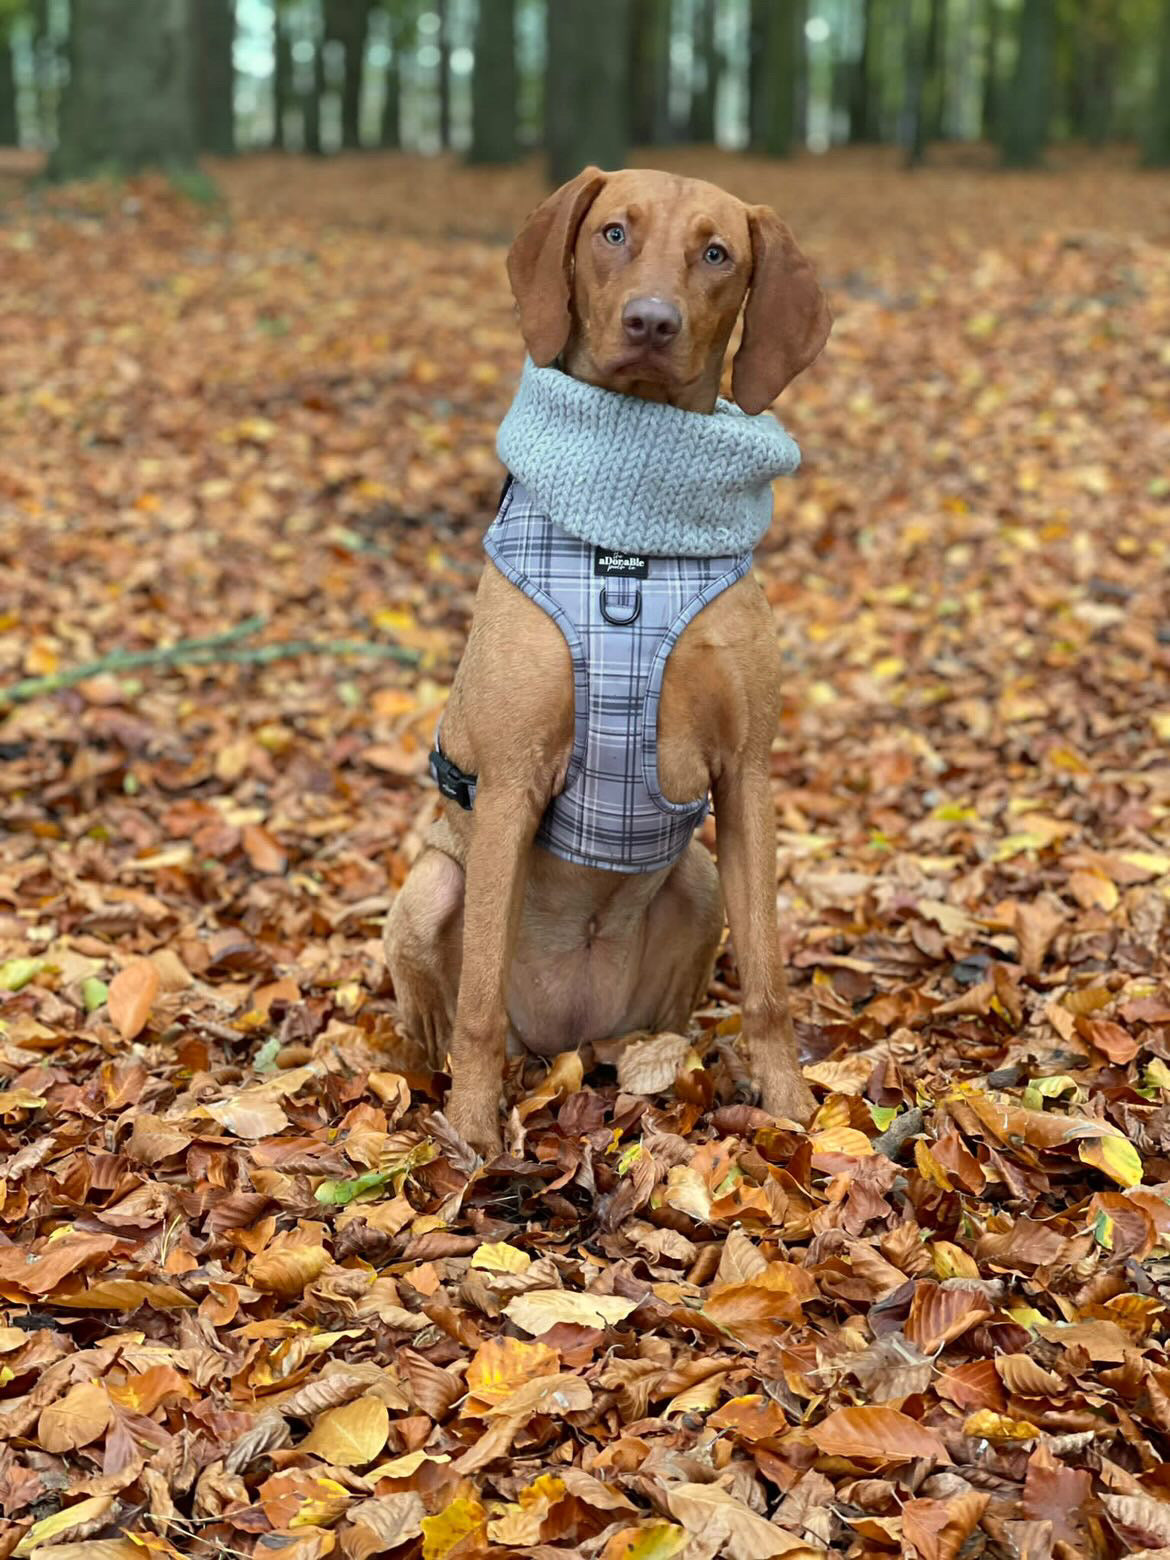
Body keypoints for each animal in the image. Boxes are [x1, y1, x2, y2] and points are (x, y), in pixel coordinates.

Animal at [385, 167, 836, 1160]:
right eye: (614, 233)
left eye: (718, 253)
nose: (652, 322)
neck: (633, 542)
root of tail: (561, 1035)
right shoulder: (511, 778)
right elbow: (477, 1000)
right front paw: (473, 1133)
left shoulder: (747, 771)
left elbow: (768, 977)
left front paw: (790, 1108)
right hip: (435, 884)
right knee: (449, 1010)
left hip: (698, 882)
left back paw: (647, 1061)